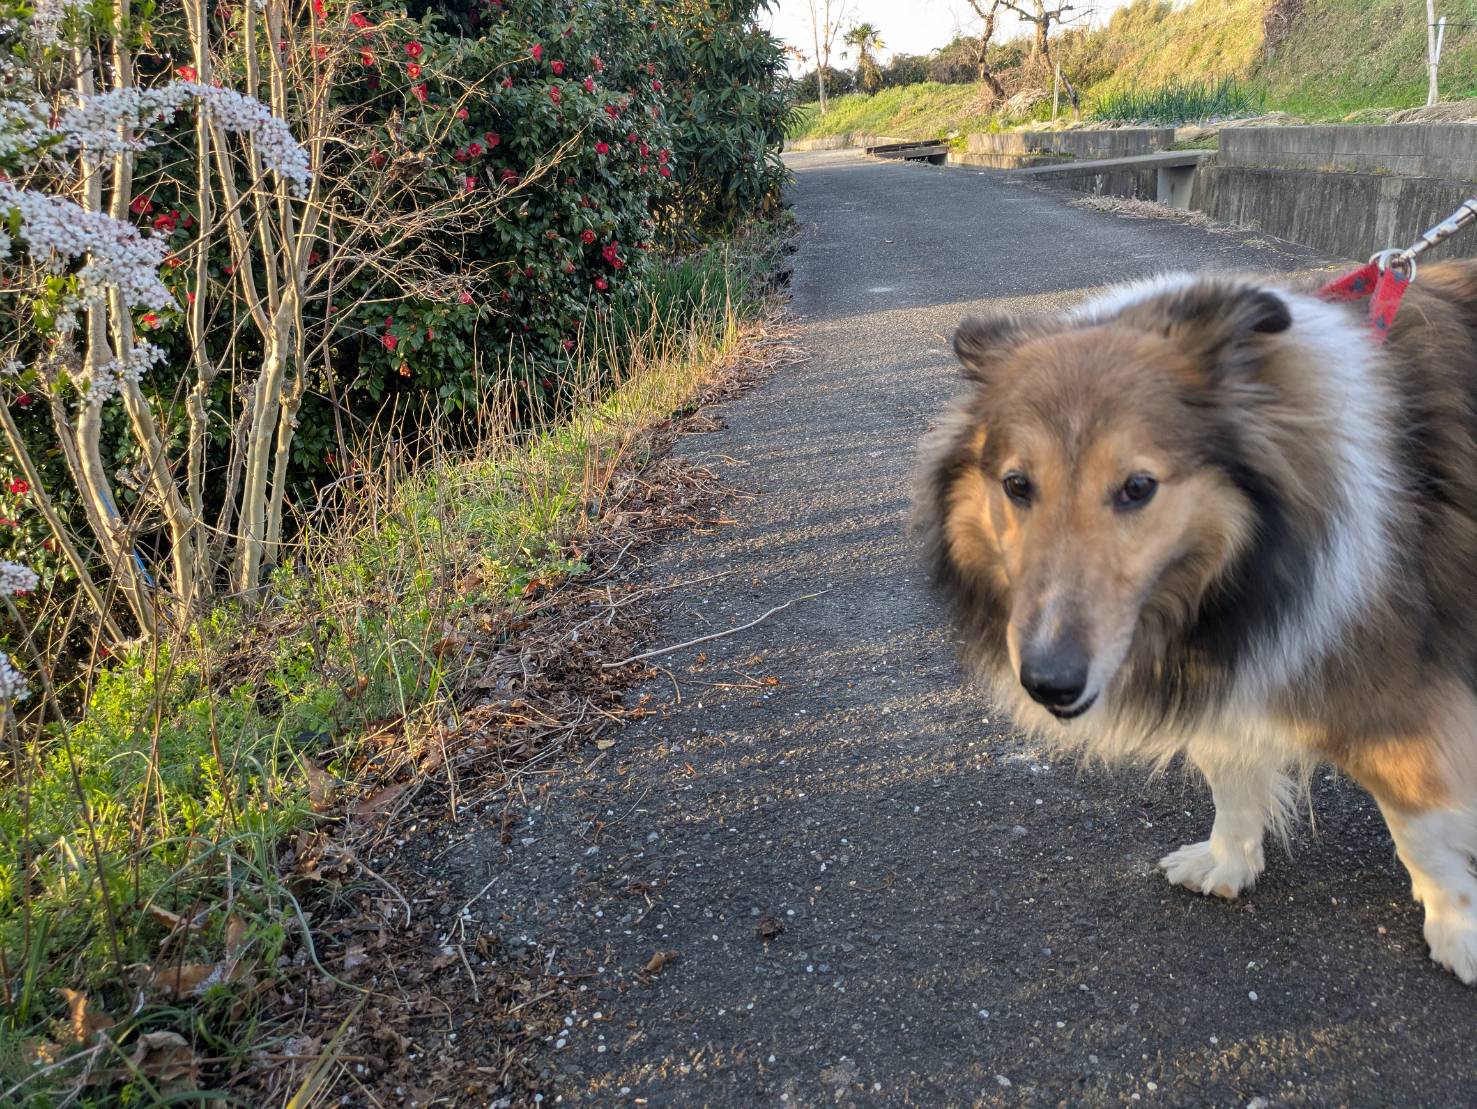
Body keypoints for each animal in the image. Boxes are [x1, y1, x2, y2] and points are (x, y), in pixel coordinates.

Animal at [916, 261, 1477, 983]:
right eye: (1016, 484)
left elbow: (1420, 828)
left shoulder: (1396, 697)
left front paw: (1458, 930)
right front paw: (1228, 860)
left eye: (1137, 487)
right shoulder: (1229, 667)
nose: (1049, 684)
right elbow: (1227, 773)